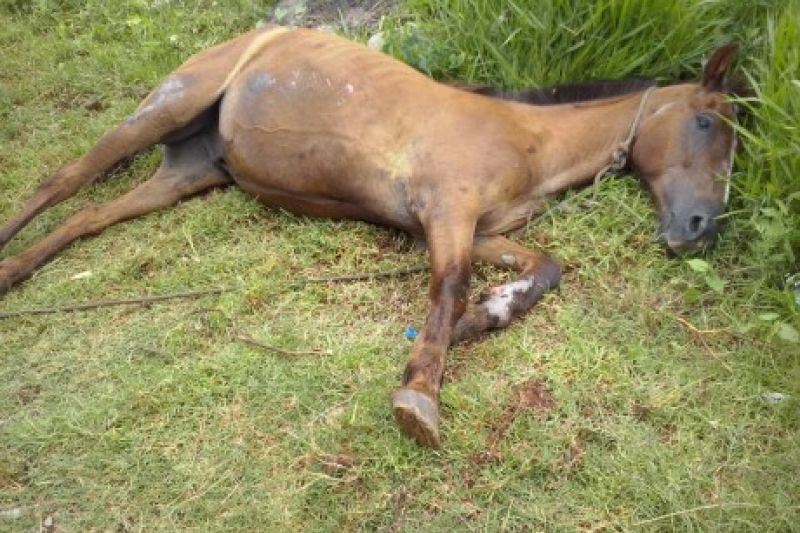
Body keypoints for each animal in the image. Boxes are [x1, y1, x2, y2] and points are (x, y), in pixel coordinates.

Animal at [0, 25, 739, 447]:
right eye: (706, 122)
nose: (700, 229)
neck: (522, 136)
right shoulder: (446, 211)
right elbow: (448, 289)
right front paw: (421, 396)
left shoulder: (480, 230)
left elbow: (545, 267)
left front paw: (488, 315)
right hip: (167, 106)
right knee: (63, 182)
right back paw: (7, 267)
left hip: (186, 171)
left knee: (88, 218)